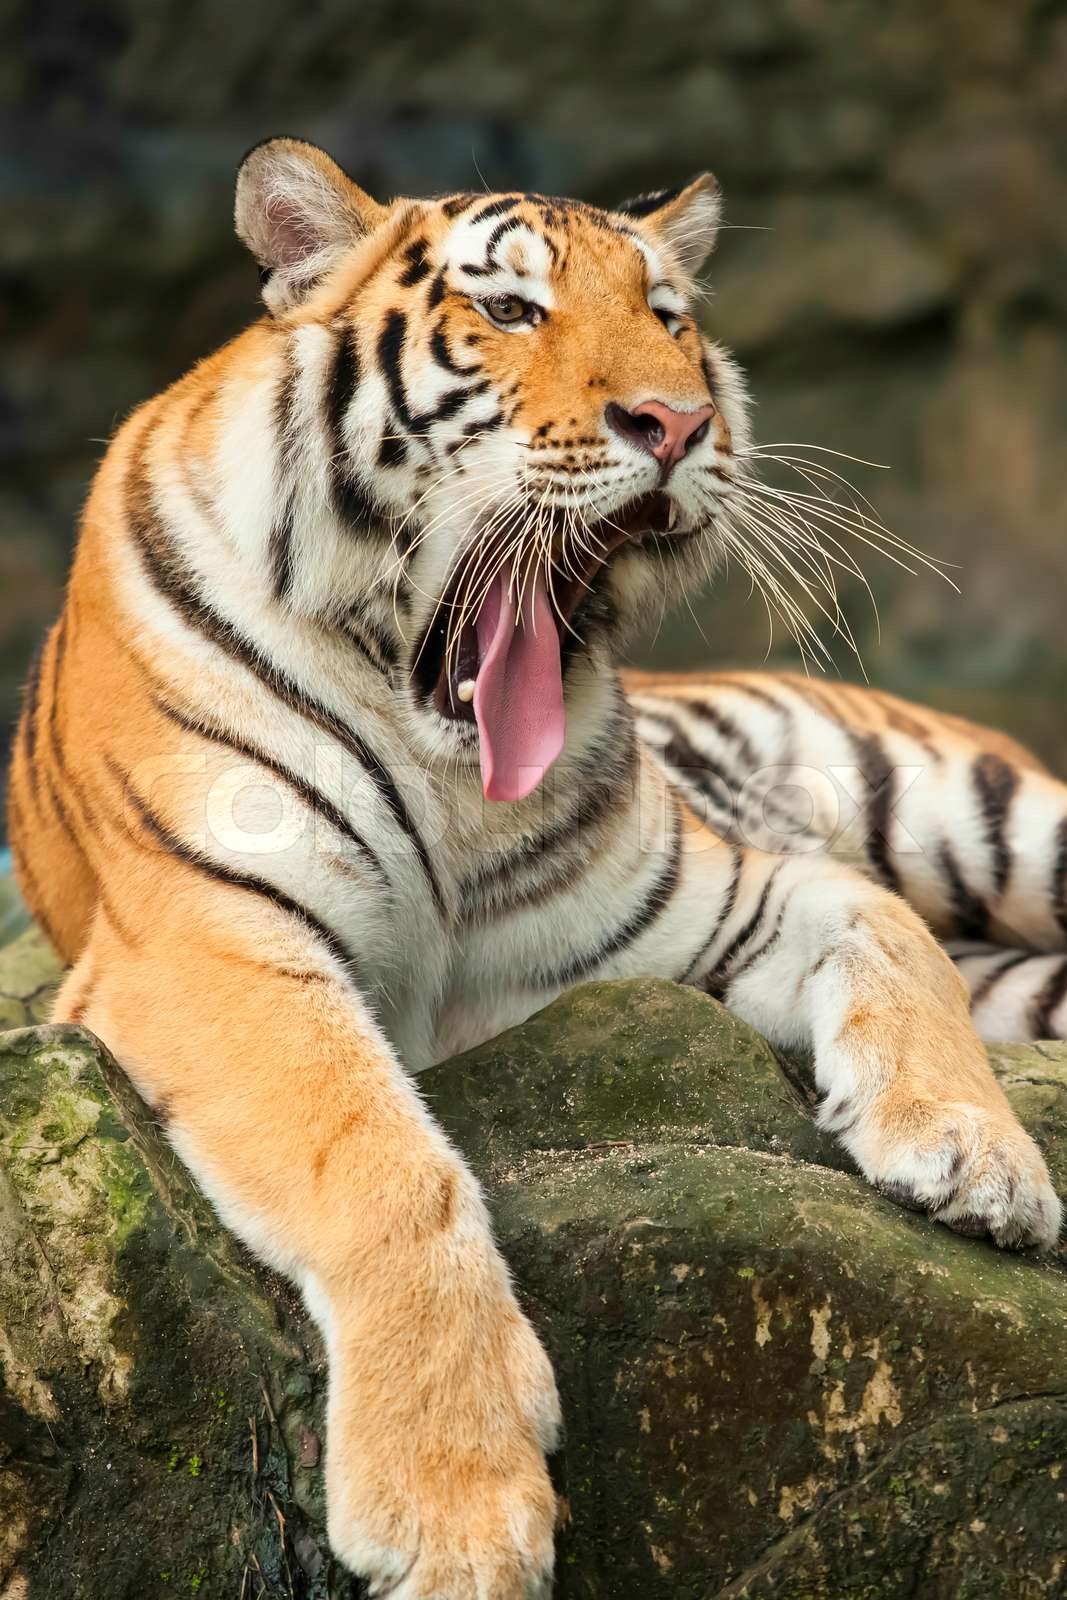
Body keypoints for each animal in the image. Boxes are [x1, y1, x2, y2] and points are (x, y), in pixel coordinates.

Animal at [5, 137, 1063, 1599]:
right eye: (509, 310)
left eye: (668, 316)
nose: (674, 423)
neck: (449, 766)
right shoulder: (211, 936)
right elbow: (385, 1161)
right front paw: (453, 1504)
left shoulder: (705, 908)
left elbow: (891, 939)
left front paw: (976, 1156)